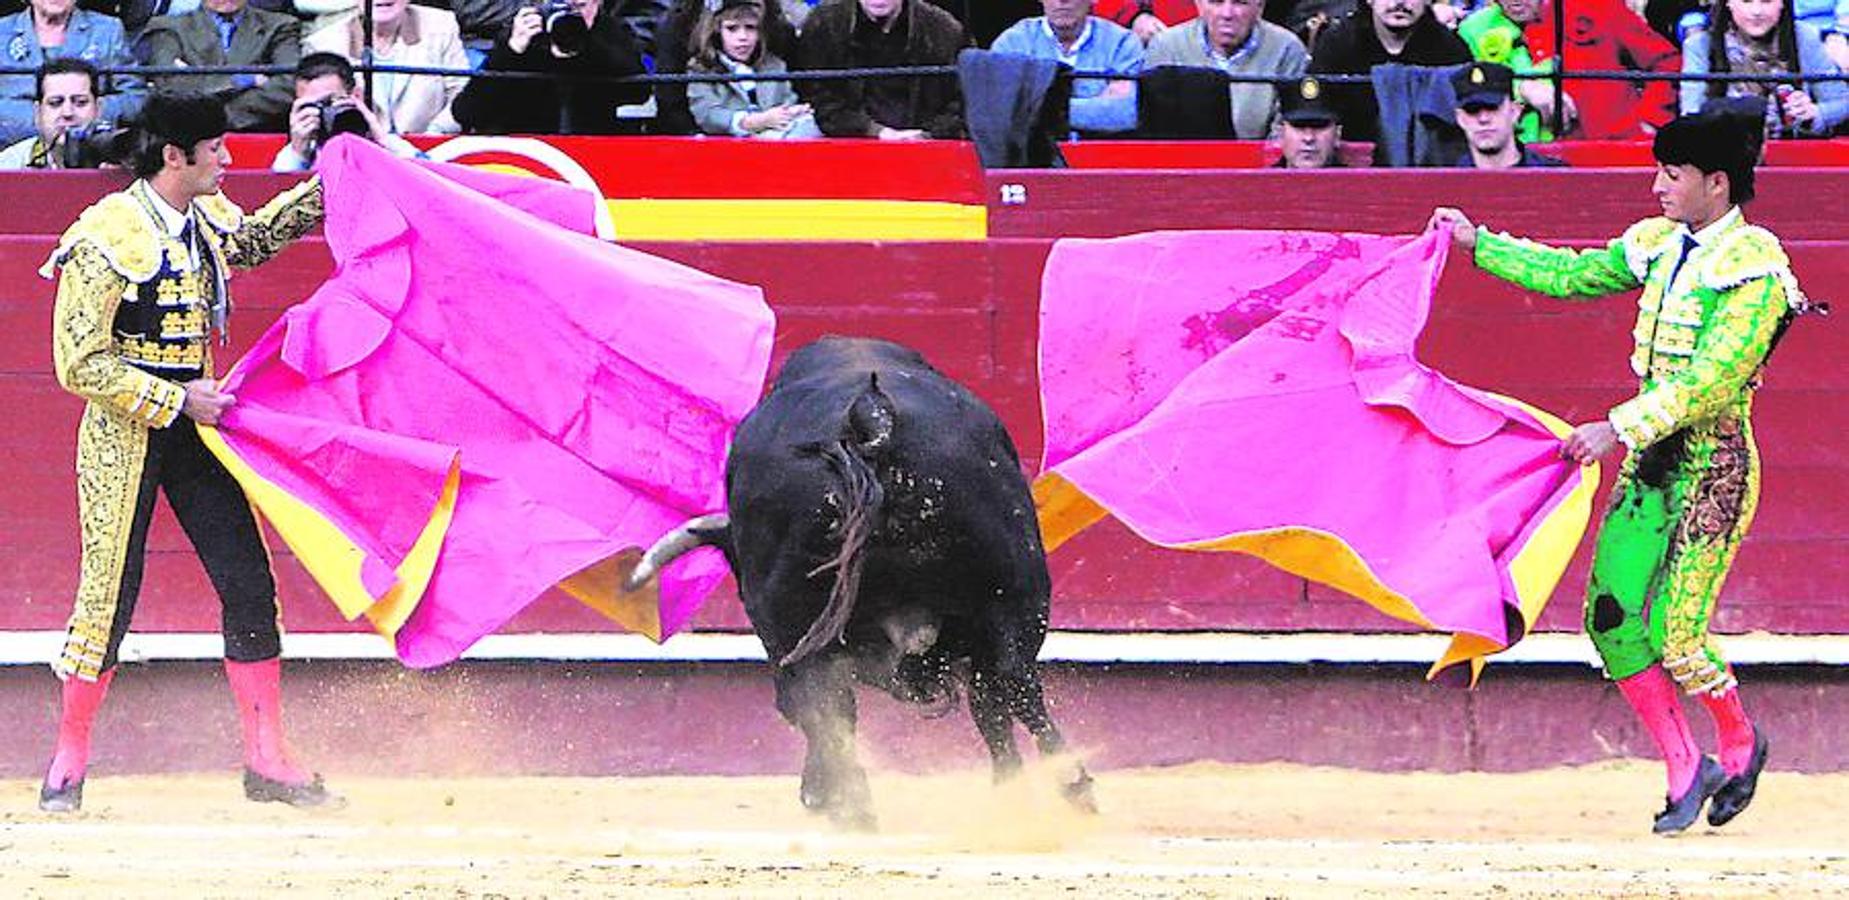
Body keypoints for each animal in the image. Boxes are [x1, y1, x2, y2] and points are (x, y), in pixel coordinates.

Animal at [636, 340, 1094, 831]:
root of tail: (869, 419)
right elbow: (991, 705)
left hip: (802, 626)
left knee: (826, 701)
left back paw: (846, 804)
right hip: (1014, 595)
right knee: (1010, 682)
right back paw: (1056, 788)